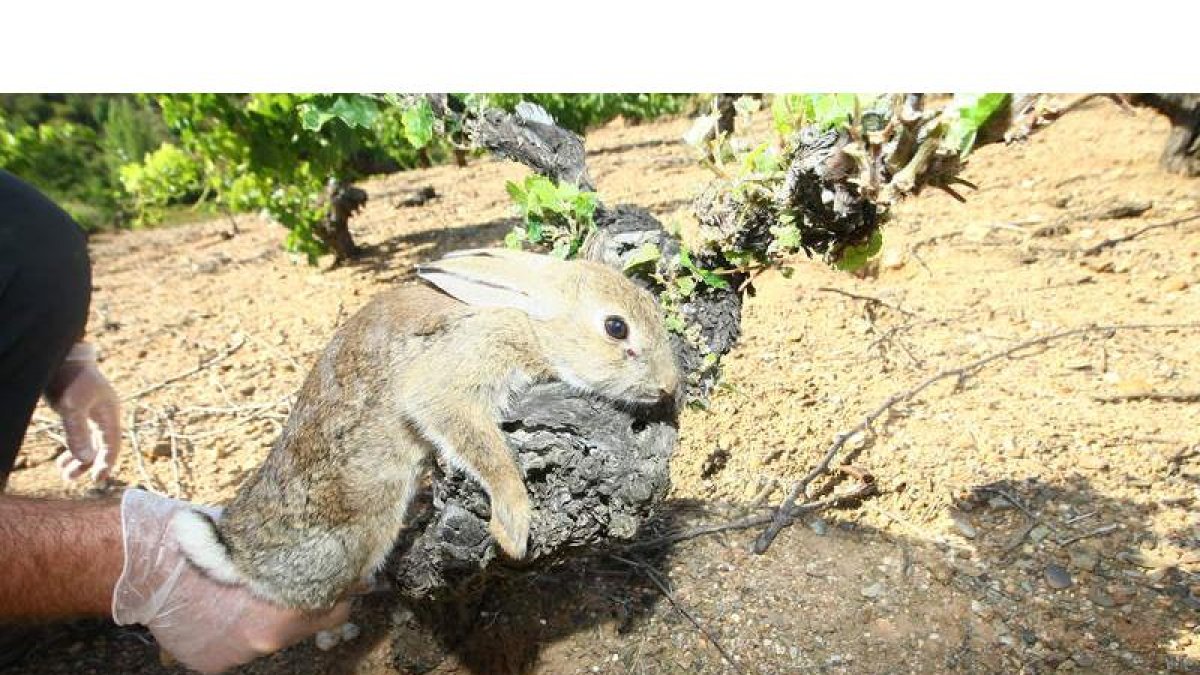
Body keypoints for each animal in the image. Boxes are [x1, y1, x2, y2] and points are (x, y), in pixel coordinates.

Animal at [169, 248, 681, 610]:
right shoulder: (456, 373)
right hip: (361, 526)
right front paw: (513, 527)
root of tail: (236, 554)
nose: (668, 385)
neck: (530, 320)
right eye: (616, 327)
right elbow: (482, 447)